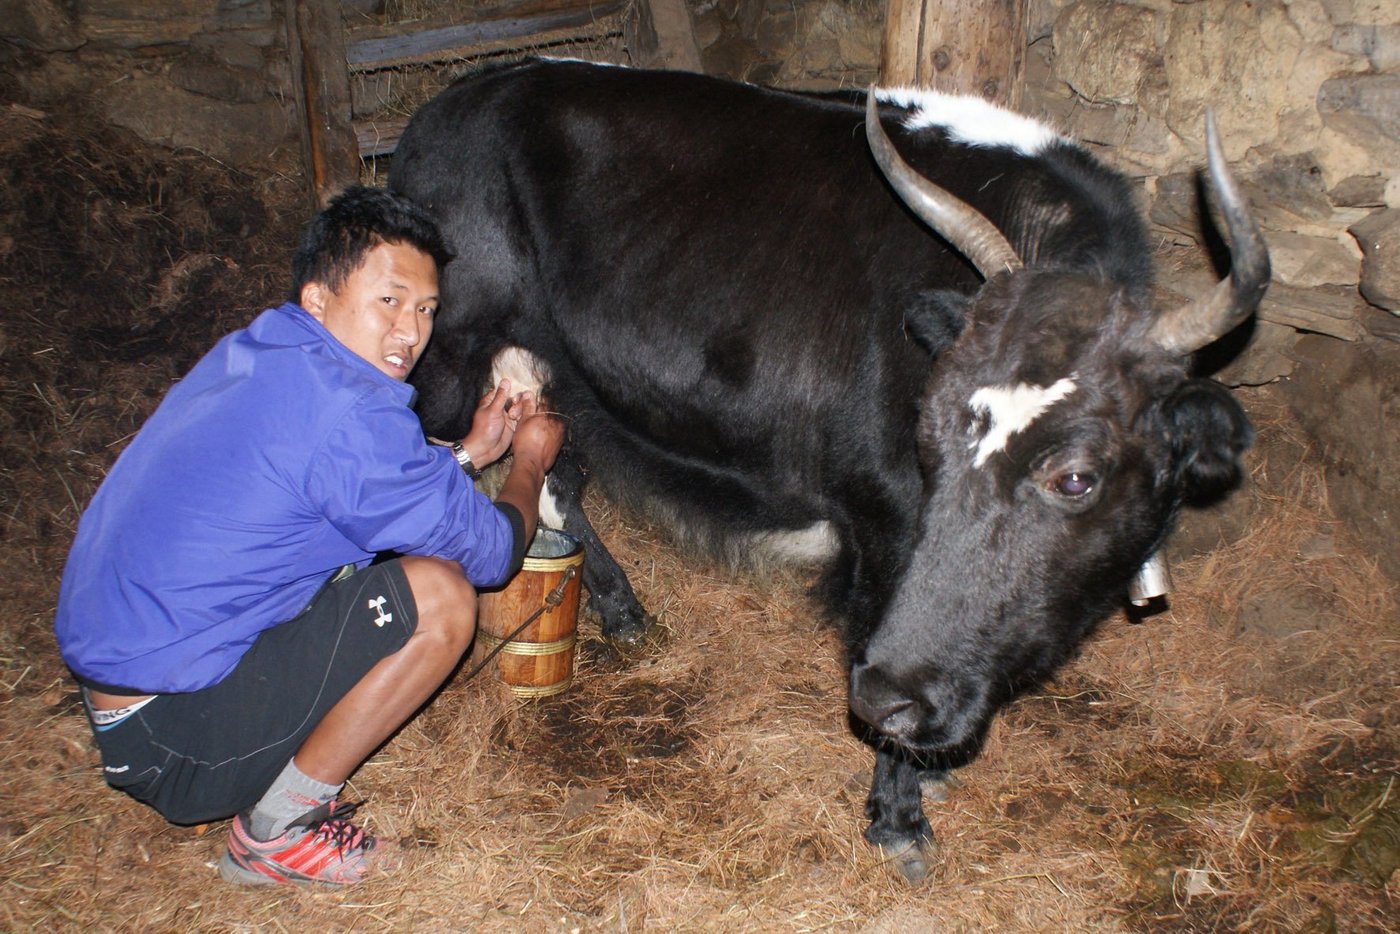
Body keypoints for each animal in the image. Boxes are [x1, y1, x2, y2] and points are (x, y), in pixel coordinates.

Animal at [388, 58, 1269, 880]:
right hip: (447, 357)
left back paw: (624, 611)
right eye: (927, 431)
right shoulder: (882, 522)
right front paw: (900, 819)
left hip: (560, 372)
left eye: (1077, 477)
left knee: (557, 477)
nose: (884, 697)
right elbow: (877, 633)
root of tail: (453, 101)